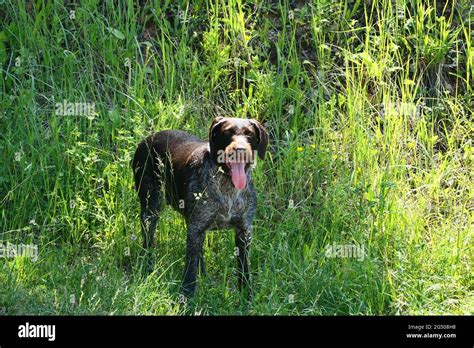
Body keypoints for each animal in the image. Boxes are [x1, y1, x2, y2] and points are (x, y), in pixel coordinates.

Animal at [131, 117, 268, 296]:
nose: (240, 150)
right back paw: (147, 266)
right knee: (148, 242)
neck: (227, 187)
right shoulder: (196, 228)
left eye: (249, 134)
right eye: (227, 133)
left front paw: (246, 294)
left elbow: (243, 268)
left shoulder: (243, 231)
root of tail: (146, 140)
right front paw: (187, 295)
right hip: (151, 208)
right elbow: (190, 268)